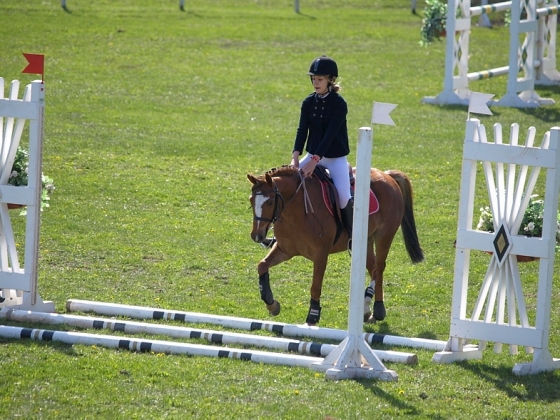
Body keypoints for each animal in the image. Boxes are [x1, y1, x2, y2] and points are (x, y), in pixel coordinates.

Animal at [247, 166, 422, 326]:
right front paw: (272, 305)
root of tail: (387, 175)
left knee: (378, 268)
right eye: (251, 200)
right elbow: (262, 266)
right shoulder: (285, 250)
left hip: (384, 236)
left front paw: (313, 316)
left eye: (270, 202)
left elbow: (315, 286)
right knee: (373, 268)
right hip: (365, 241)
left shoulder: (320, 255)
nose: (257, 235)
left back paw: (369, 307)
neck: (296, 211)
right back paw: (374, 312)